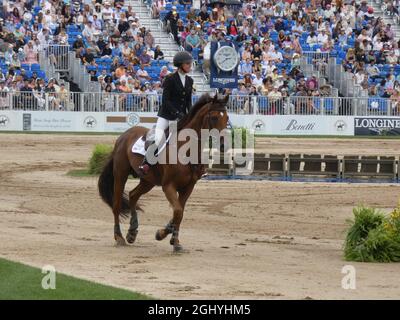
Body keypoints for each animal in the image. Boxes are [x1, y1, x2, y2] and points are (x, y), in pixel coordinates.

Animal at [97, 93, 228, 252]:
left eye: (227, 118)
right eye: (214, 117)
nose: (224, 145)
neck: (185, 149)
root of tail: (123, 136)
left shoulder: (188, 187)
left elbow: (179, 213)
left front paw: (174, 240)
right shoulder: (168, 186)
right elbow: (177, 212)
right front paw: (162, 234)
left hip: (148, 181)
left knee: (133, 195)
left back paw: (132, 232)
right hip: (120, 174)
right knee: (116, 205)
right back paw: (119, 237)